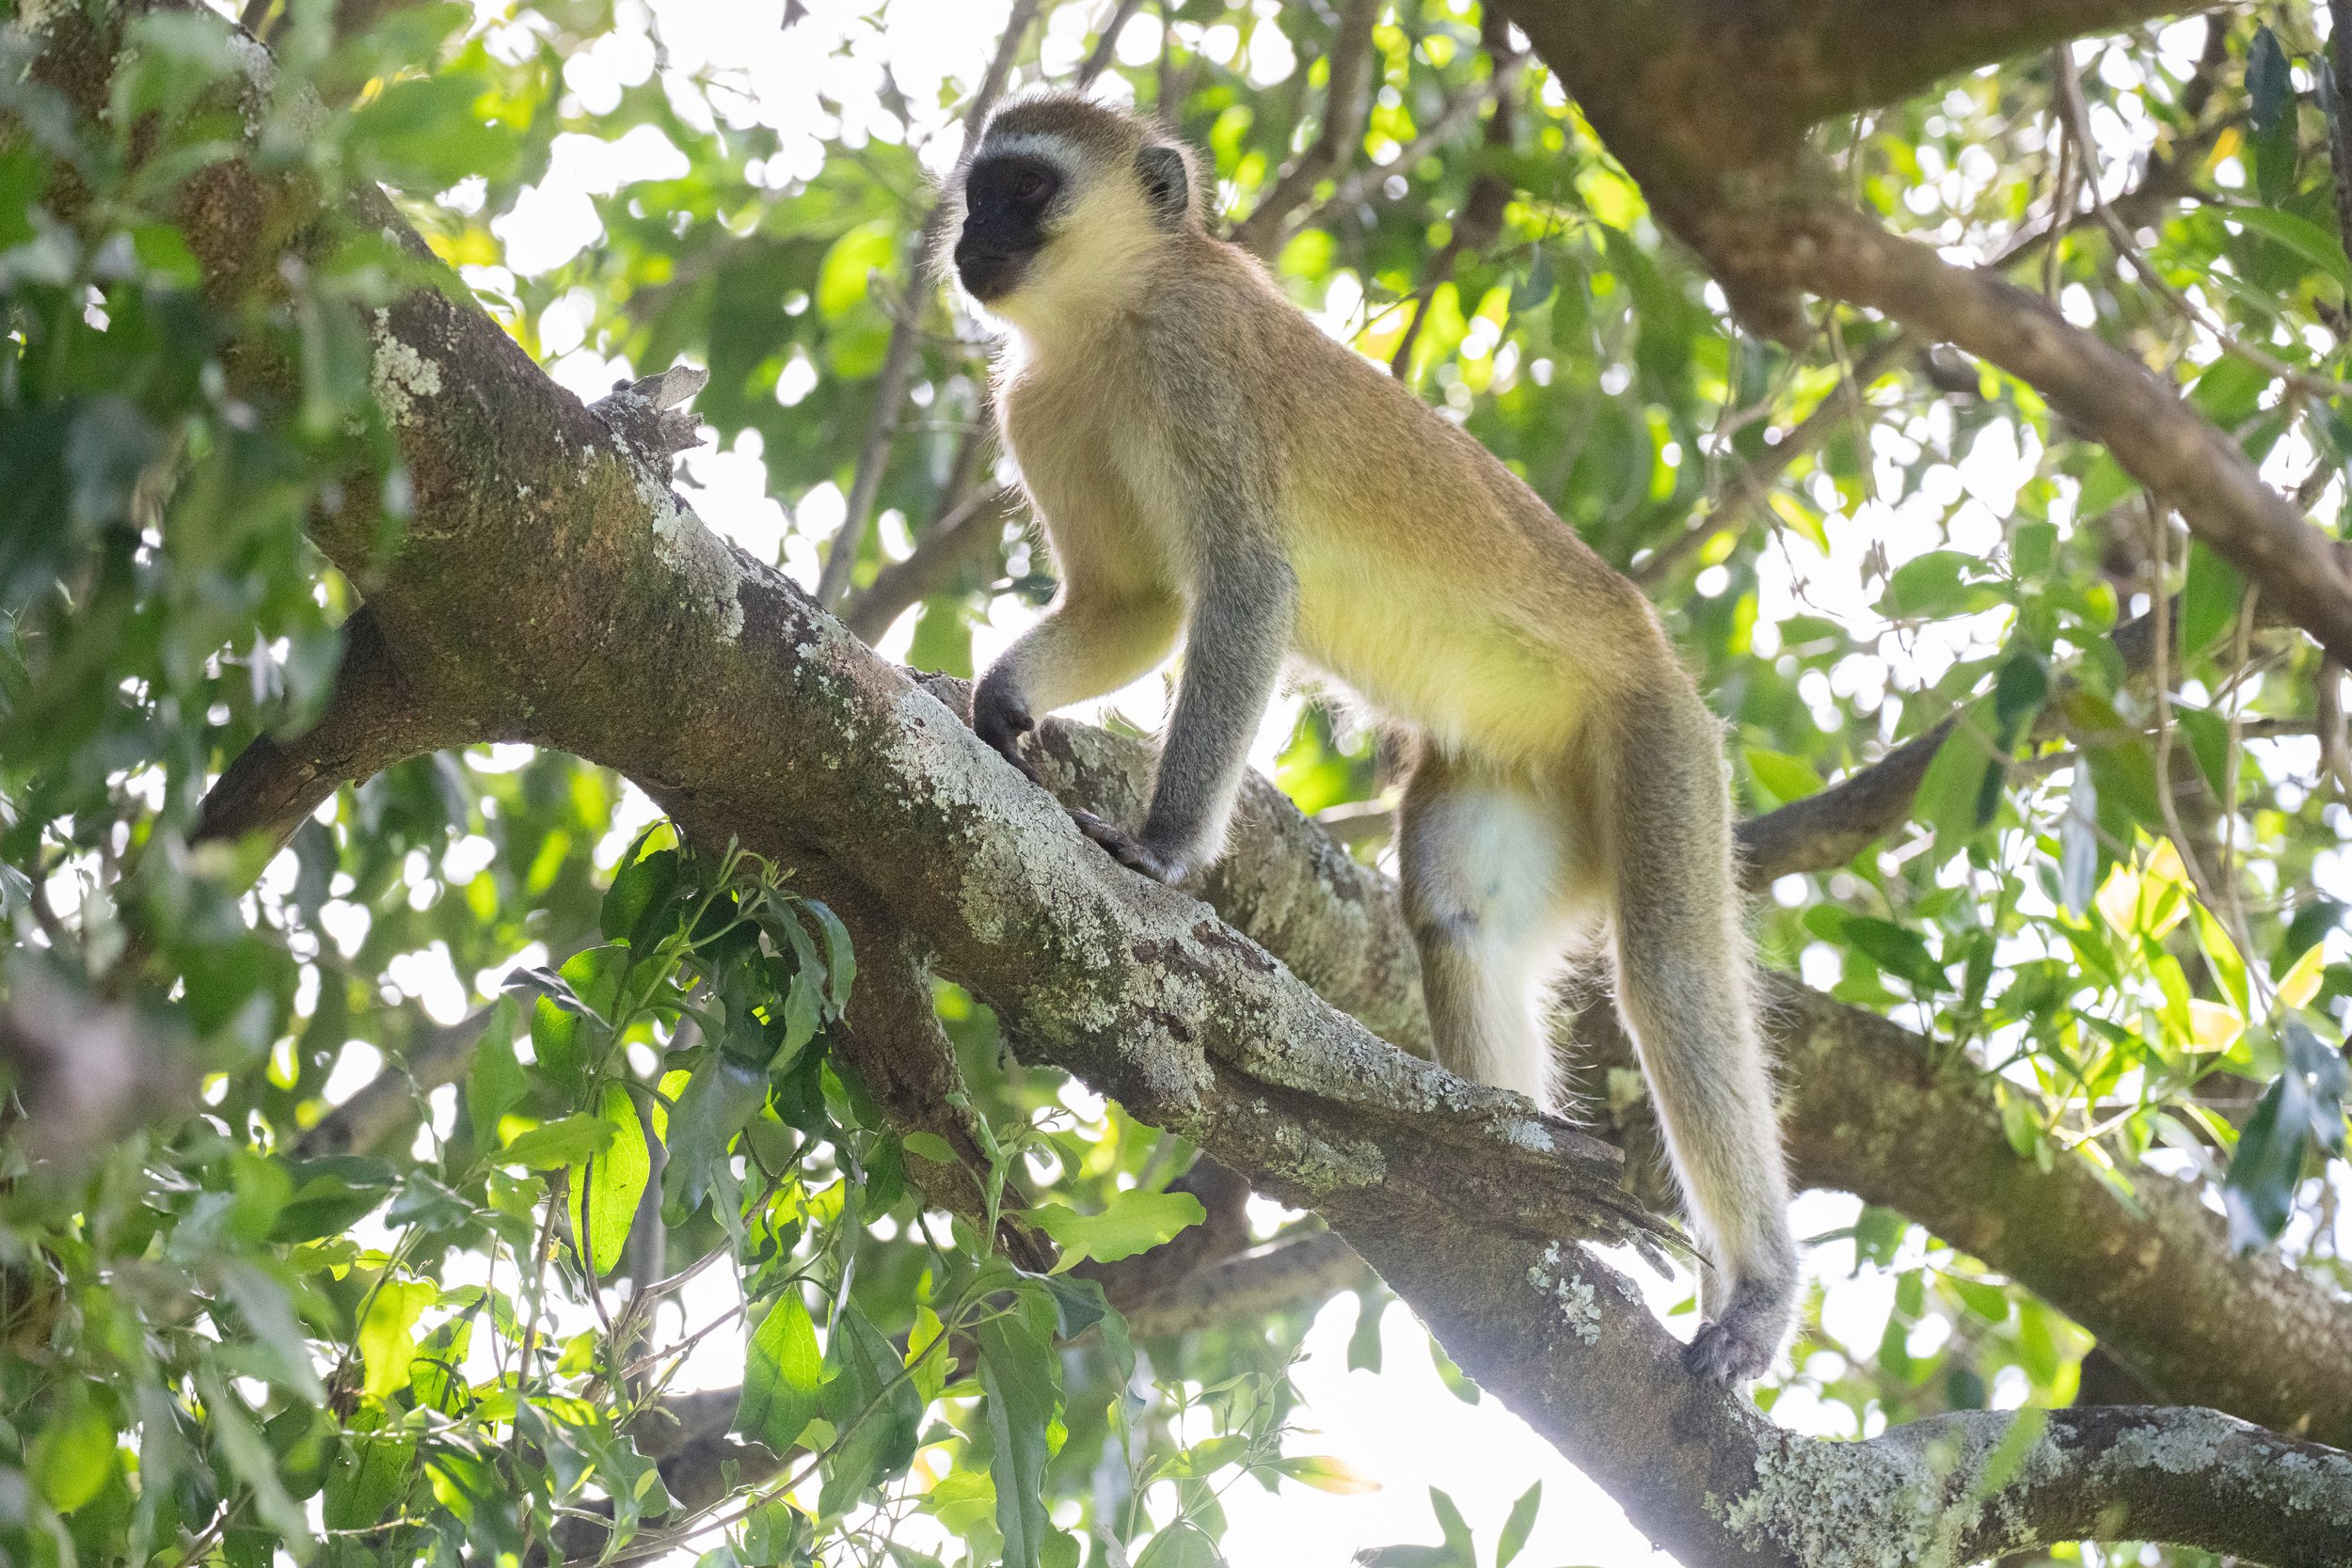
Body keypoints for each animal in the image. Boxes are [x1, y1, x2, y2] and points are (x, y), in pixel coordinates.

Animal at [942, 92, 1796, 1382]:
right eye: (978, 187)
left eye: (1025, 189)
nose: (966, 237)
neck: (1108, 322)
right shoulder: (1037, 408)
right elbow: (1133, 606)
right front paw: (1000, 705)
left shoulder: (1197, 362)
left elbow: (1246, 591)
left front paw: (1161, 849)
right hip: (1513, 778)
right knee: (1458, 916)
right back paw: (1515, 1190)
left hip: (1656, 740)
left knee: (1673, 976)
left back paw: (1754, 1292)